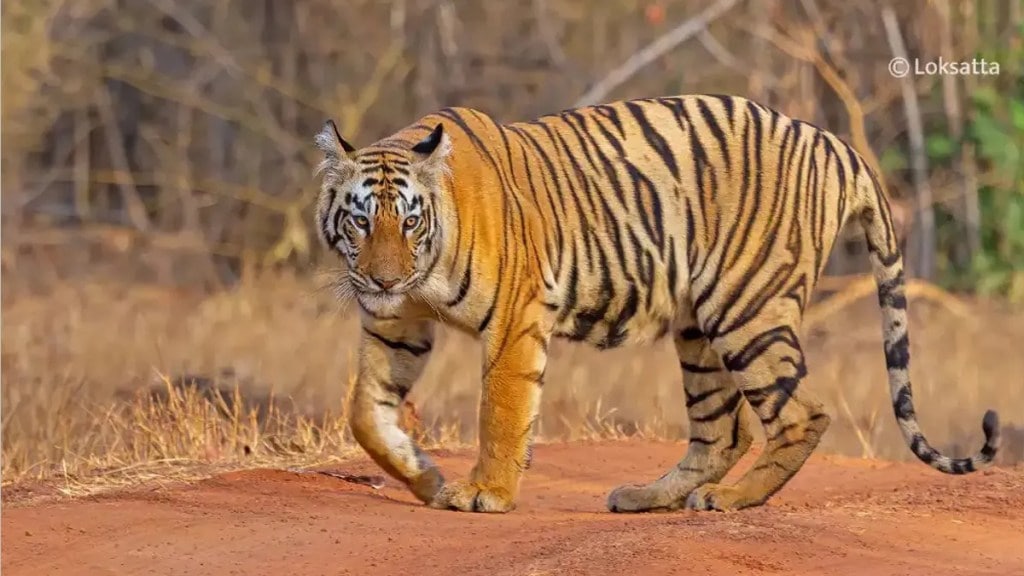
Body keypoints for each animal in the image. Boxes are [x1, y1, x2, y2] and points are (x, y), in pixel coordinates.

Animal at [313, 93, 999, 510]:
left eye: (408, 221)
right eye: (360, 221)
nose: (381, 281)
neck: (421, 272)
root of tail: (835, 143)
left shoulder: (515, 317)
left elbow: (501, 411)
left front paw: (486, 493)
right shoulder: (394, 325)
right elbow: (365, 414)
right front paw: (426, 477)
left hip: (745, 308)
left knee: (801, 414)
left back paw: (731, 500)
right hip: (699, 328)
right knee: (723, 432)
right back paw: (649, 497)